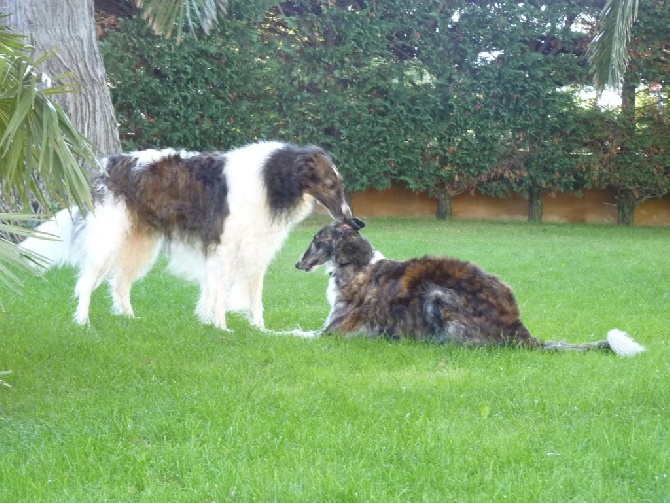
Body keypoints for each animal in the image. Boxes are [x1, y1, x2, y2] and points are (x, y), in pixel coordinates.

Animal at [22, 142, 352, 330]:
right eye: (330, 184)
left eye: (340, 183)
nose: (349, 217)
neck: (270, 178)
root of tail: (107, 165)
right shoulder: (224, 248)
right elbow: (220, 293)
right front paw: (220, 328)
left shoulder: (256, 249)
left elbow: (254, 298)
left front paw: (260, 330)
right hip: (109, 239)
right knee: (86, 283)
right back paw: (83, 322)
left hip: (140, 243)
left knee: (119, 284)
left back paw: (129, 319)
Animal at [296, 220, 648, 358]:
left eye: (315, 239)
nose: (298, 264)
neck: (359, 266)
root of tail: (519, 330)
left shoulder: (331, 332)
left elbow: (294, 333)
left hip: (437, 295)